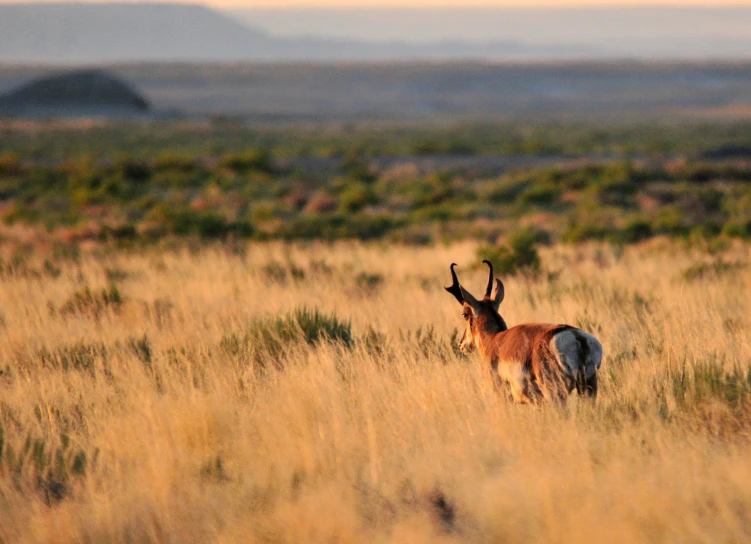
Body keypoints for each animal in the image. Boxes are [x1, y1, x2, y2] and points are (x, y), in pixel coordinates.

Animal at [446, 260, 604, 404]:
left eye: (465, 314)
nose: (462, 344)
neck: (494, 339)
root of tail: (576, 337)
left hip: (555, 394)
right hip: (588, 389)